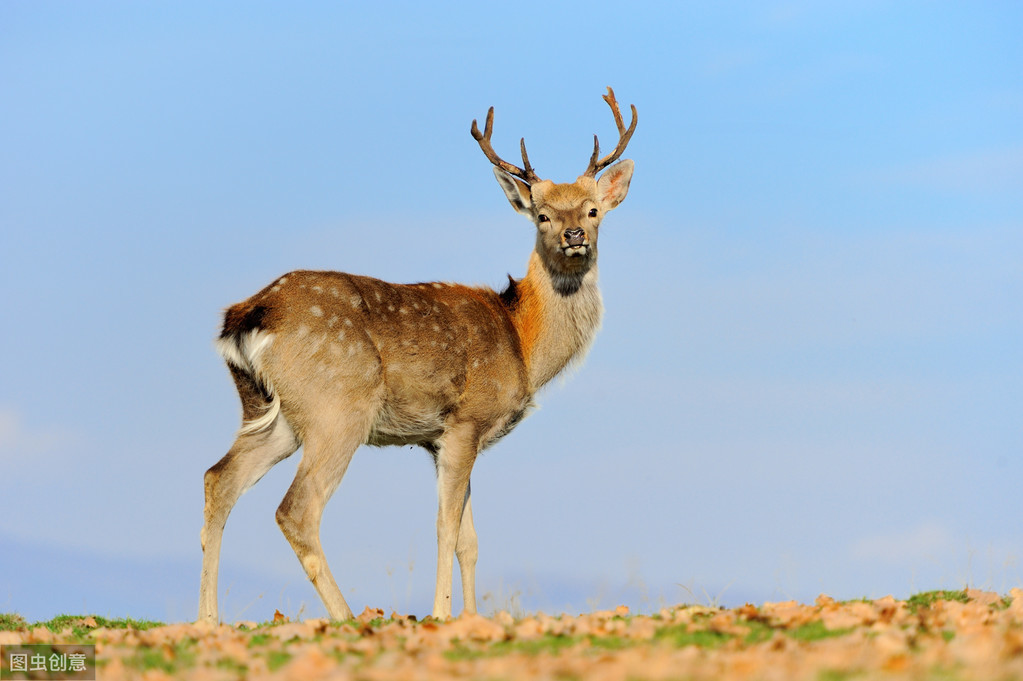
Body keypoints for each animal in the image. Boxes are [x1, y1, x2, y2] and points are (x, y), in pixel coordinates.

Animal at [195, 86, 634, 621]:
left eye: (592, 211)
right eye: (542, 215)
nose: (574, 236)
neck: (524, 343)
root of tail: (247, 315)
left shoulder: (440, 440)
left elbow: (470, 540)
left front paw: (469, 616)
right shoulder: (466, 420)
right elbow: (446, 528)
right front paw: (442, 614)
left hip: (269, 413)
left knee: (218, 480)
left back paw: (208, 620)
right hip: (337, 407)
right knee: (296, 509)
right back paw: (345, 617)